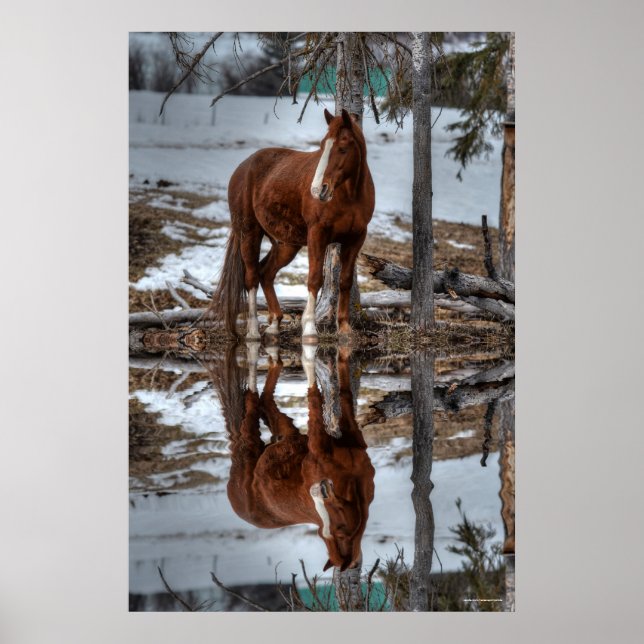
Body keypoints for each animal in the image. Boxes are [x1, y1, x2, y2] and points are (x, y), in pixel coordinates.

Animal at [208, 108, 375, 342]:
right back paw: (253, 330)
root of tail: (243, 167)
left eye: (342, 148)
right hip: (249, 233)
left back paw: (275, 323)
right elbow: (315, 279)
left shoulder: (356, 238)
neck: (350, 196)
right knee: (251, 277)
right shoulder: (317, 234)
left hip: (286, 244)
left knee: (265, 273)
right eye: (322, 146)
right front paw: (310, 329)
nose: (318, 190)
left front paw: (344, 328)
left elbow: (345, 281)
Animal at [209, 345, 375, 572]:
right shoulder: (317, 444)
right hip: (250, 443)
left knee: (265, 397)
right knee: (253, 400)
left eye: (340, 532)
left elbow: (345, 392)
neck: (353, 481)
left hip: (285, 432)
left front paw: (343, 351)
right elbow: (315, 400)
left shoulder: (352, 435)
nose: (320, 488)